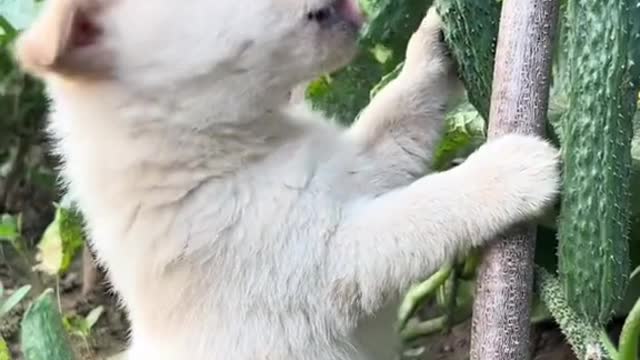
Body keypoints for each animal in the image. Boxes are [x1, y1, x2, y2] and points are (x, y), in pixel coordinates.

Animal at [12, 0, 556, 358]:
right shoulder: (331, 259)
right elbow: (426, 207)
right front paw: (512, 169)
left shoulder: (359, 169)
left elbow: (397, 109)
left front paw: (431, 42)